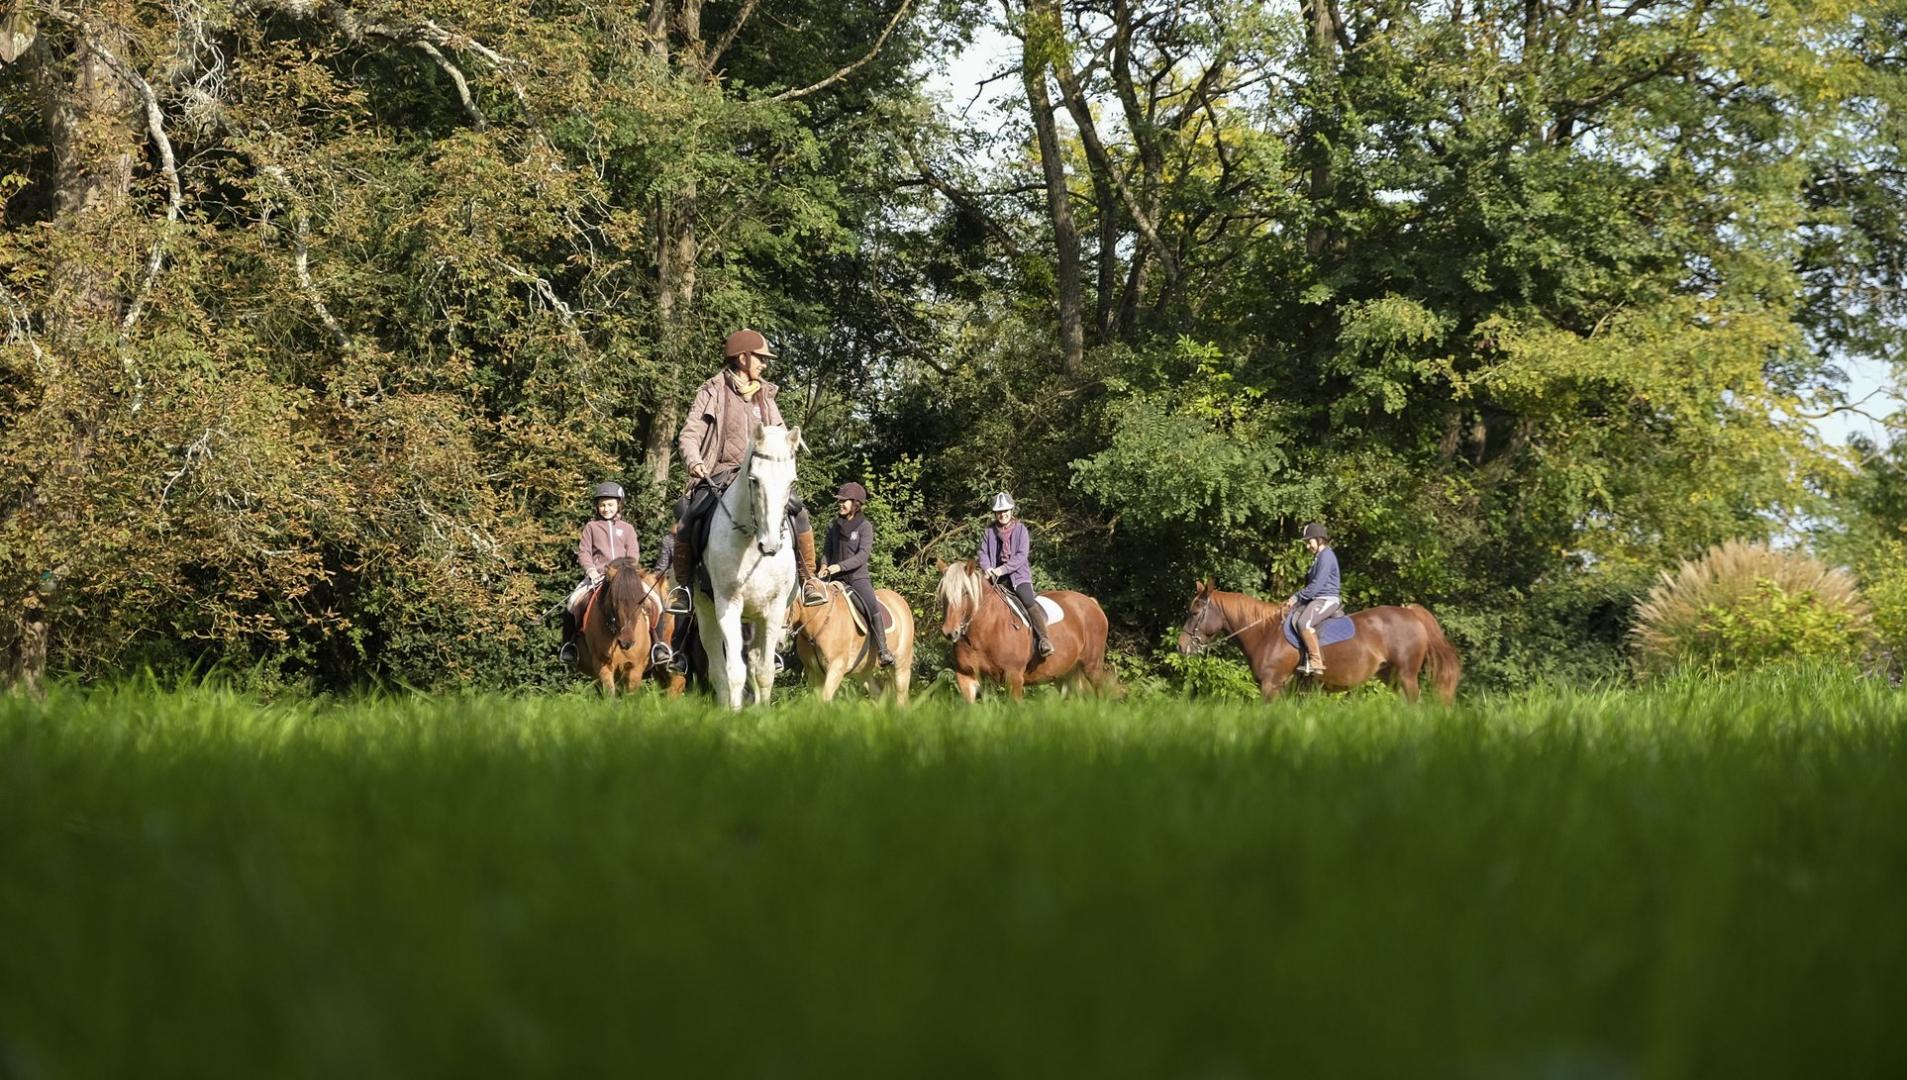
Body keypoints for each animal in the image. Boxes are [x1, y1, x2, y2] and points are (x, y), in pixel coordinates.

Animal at [575, 557, 667, 702]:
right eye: (614, 601)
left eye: (641, 601)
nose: (626, 642)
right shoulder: (603, 665)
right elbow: (609, 695)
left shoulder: (635, 668)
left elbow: (630, 697)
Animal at [690, 423, 800, 709]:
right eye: (754, 480)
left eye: (791, 482)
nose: (770, 545)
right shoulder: (728, 605)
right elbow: (734, 673)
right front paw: (733, 714)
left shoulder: (774, 610)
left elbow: (764, 671)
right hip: (707, 613)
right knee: (718, 669)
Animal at [781, 583, 915, 702]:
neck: (819, 622)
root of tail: (898, 599)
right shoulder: (815, 673)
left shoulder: (836, 667)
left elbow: (824, 699)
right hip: (862, 672)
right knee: (877, 693)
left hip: (901, 665)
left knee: (902, 698)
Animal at [938, 564, 1113, 706]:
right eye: (943, 594)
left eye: (965, 592)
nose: (949, 632)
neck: (984, 631)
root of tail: (1091, 602)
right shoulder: (966, 677)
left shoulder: (1013, 678)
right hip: (1067, 673)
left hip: (1092, 666)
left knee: (1101, 694)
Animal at [1174, 580, 1456, 706]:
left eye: (1195, 611)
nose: (1181, 646)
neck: (1266, 633)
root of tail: (1411, 614)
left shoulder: (1271, 686)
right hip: (1392, 676)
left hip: (1407, 675)